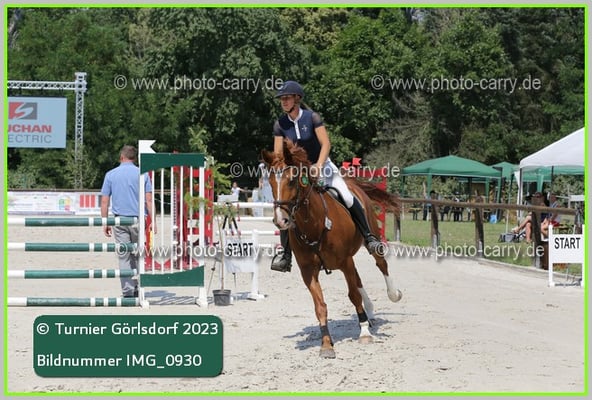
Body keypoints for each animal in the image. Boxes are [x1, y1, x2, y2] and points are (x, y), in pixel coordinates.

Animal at [261, 140, 402, 358]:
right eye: (270, 182)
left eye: (292, 181)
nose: (280, 221)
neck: (314, 224)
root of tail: (354, 185)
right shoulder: (308, 271)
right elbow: (320, 306)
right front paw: (326, 344)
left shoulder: (344, 262)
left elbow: (353, 295)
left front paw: (363, 333)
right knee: (358, 279)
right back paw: (369, 312)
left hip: (368, 240)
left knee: (381, 264)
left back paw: (391, 296)